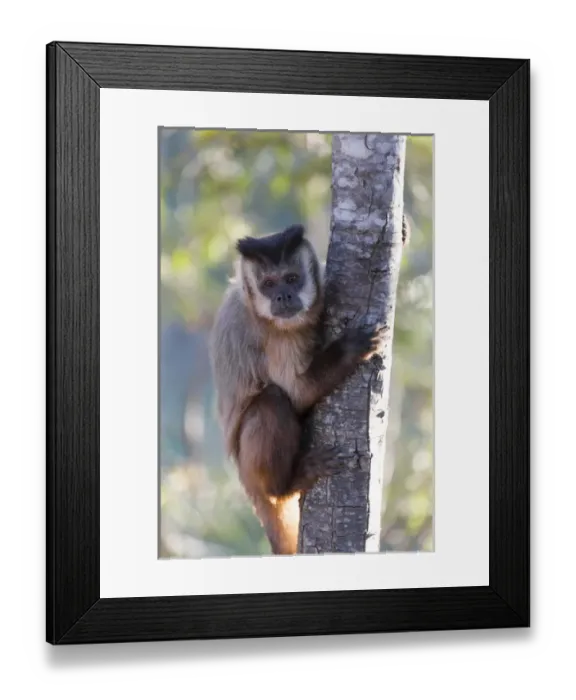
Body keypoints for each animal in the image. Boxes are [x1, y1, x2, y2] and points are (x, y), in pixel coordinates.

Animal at [209, 219, 408, 555]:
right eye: (269, 284)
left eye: (291, 279)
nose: (283, 297)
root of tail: (244, 480)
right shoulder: (274, 335)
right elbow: (297, 393)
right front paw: (348, 349)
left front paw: (404, 232)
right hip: (252, 469)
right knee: (273, 400)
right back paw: (286, 484)